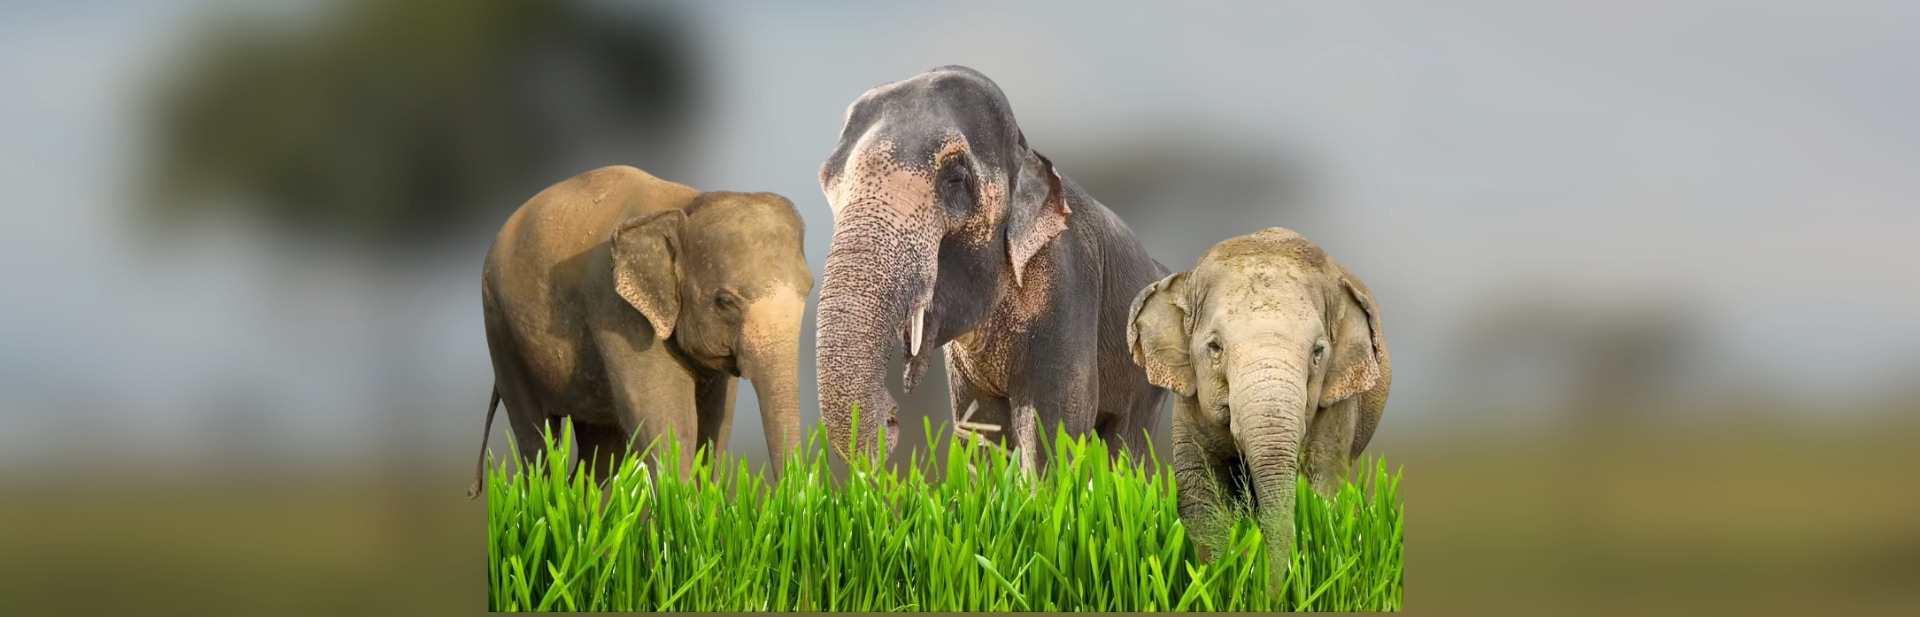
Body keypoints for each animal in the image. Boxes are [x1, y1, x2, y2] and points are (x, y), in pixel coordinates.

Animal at [467, 165, 812, 497]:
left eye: (808, 289)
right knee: (536, 438)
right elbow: (669, 421)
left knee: (601, 452)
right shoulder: (620, 313)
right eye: (726, 302)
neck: (686, 205)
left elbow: (717, 423)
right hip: (500, 327)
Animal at [813, 65, 1170, 470]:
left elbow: (1053, 424)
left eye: (955, 179)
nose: (892, 416)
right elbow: (980, 424)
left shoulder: (1068, 278)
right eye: (826, 181)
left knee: (1126, 445)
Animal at [1127, 227, 1390, 570]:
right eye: (1214, 347)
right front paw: (1215, 571)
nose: (1277, 581)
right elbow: (1201, 496)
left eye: (1318, 351)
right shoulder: (1190, 403)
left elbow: (1321, 488)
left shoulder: (1340, 407)